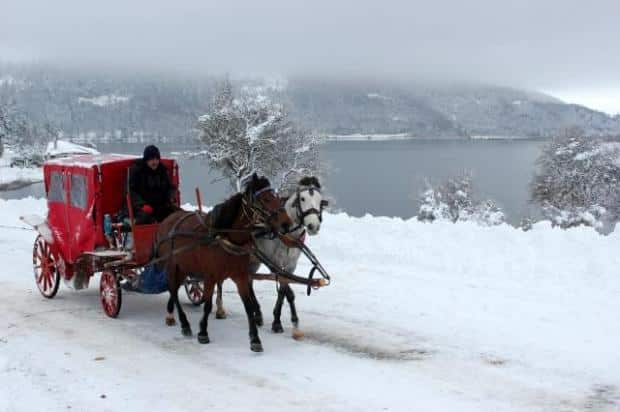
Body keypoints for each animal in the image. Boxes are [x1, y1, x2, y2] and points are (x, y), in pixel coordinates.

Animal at [155, 173, 290, 350]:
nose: (286, 223)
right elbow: (207, 304)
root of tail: (168, 219)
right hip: (172, 265)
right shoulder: (210, 277)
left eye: (276, 197)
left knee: (174, 289)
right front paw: (203, 332)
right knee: (173, 289)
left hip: (183, 267)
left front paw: (255, 339)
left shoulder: (240, 276)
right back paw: (184, 323)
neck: (226, 237)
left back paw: (171, 315)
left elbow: (248, 306)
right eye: (266, 199)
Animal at [216, 175, 326, 340]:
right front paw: (279, 323)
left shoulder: (290, 265)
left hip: (253, 260)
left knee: (249, 281)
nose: (314, 226)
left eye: (320, 200)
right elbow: (288, 292)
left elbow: (283, 291)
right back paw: (220, 308)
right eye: (303, 198)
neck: (288, 235)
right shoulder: (275, 263)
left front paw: (292, 323)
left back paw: (257, 313)